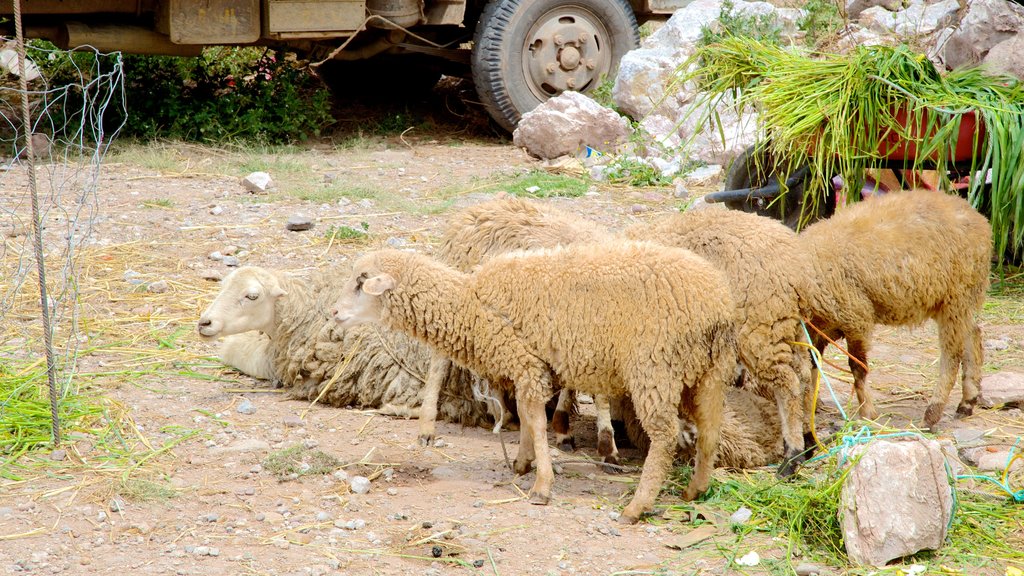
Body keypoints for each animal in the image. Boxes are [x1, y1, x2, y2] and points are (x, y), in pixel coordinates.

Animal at [196, 264, 499, 426]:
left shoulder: (283, 361)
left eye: (252, 296)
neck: (308, 311)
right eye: (223, 286)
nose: (204, 323)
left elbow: (236, 351)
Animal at [327, 239, 737, 522]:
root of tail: (715, 303)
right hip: (709, 372)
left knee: (665, 436)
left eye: (362, 282)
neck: (473, 303)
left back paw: (637, 506)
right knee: (710, 431)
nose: (333, 313)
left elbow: (536, 423)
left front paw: (541, 486)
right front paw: (522, 463)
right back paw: (695, 490)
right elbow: (526, 420)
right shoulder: (527, 368)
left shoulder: (526, 364)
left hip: (654, 368)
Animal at [622, 208, 815, 473]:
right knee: (805, 374)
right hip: (787, 325)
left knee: (788, 383)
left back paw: (792, 457)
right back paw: (807, 442)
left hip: (760, 326)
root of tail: (797, 264)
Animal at [798, 186, 991, 428]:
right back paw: (967, 402)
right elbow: (812, 368)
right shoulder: (818, 329)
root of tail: (979, 219)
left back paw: (932, 413)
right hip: (957, 300)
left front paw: (867, 413)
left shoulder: (856, 317)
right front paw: (810, 410)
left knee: (952, 355)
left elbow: (857, 368)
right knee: (973, 336)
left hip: (955, 297)